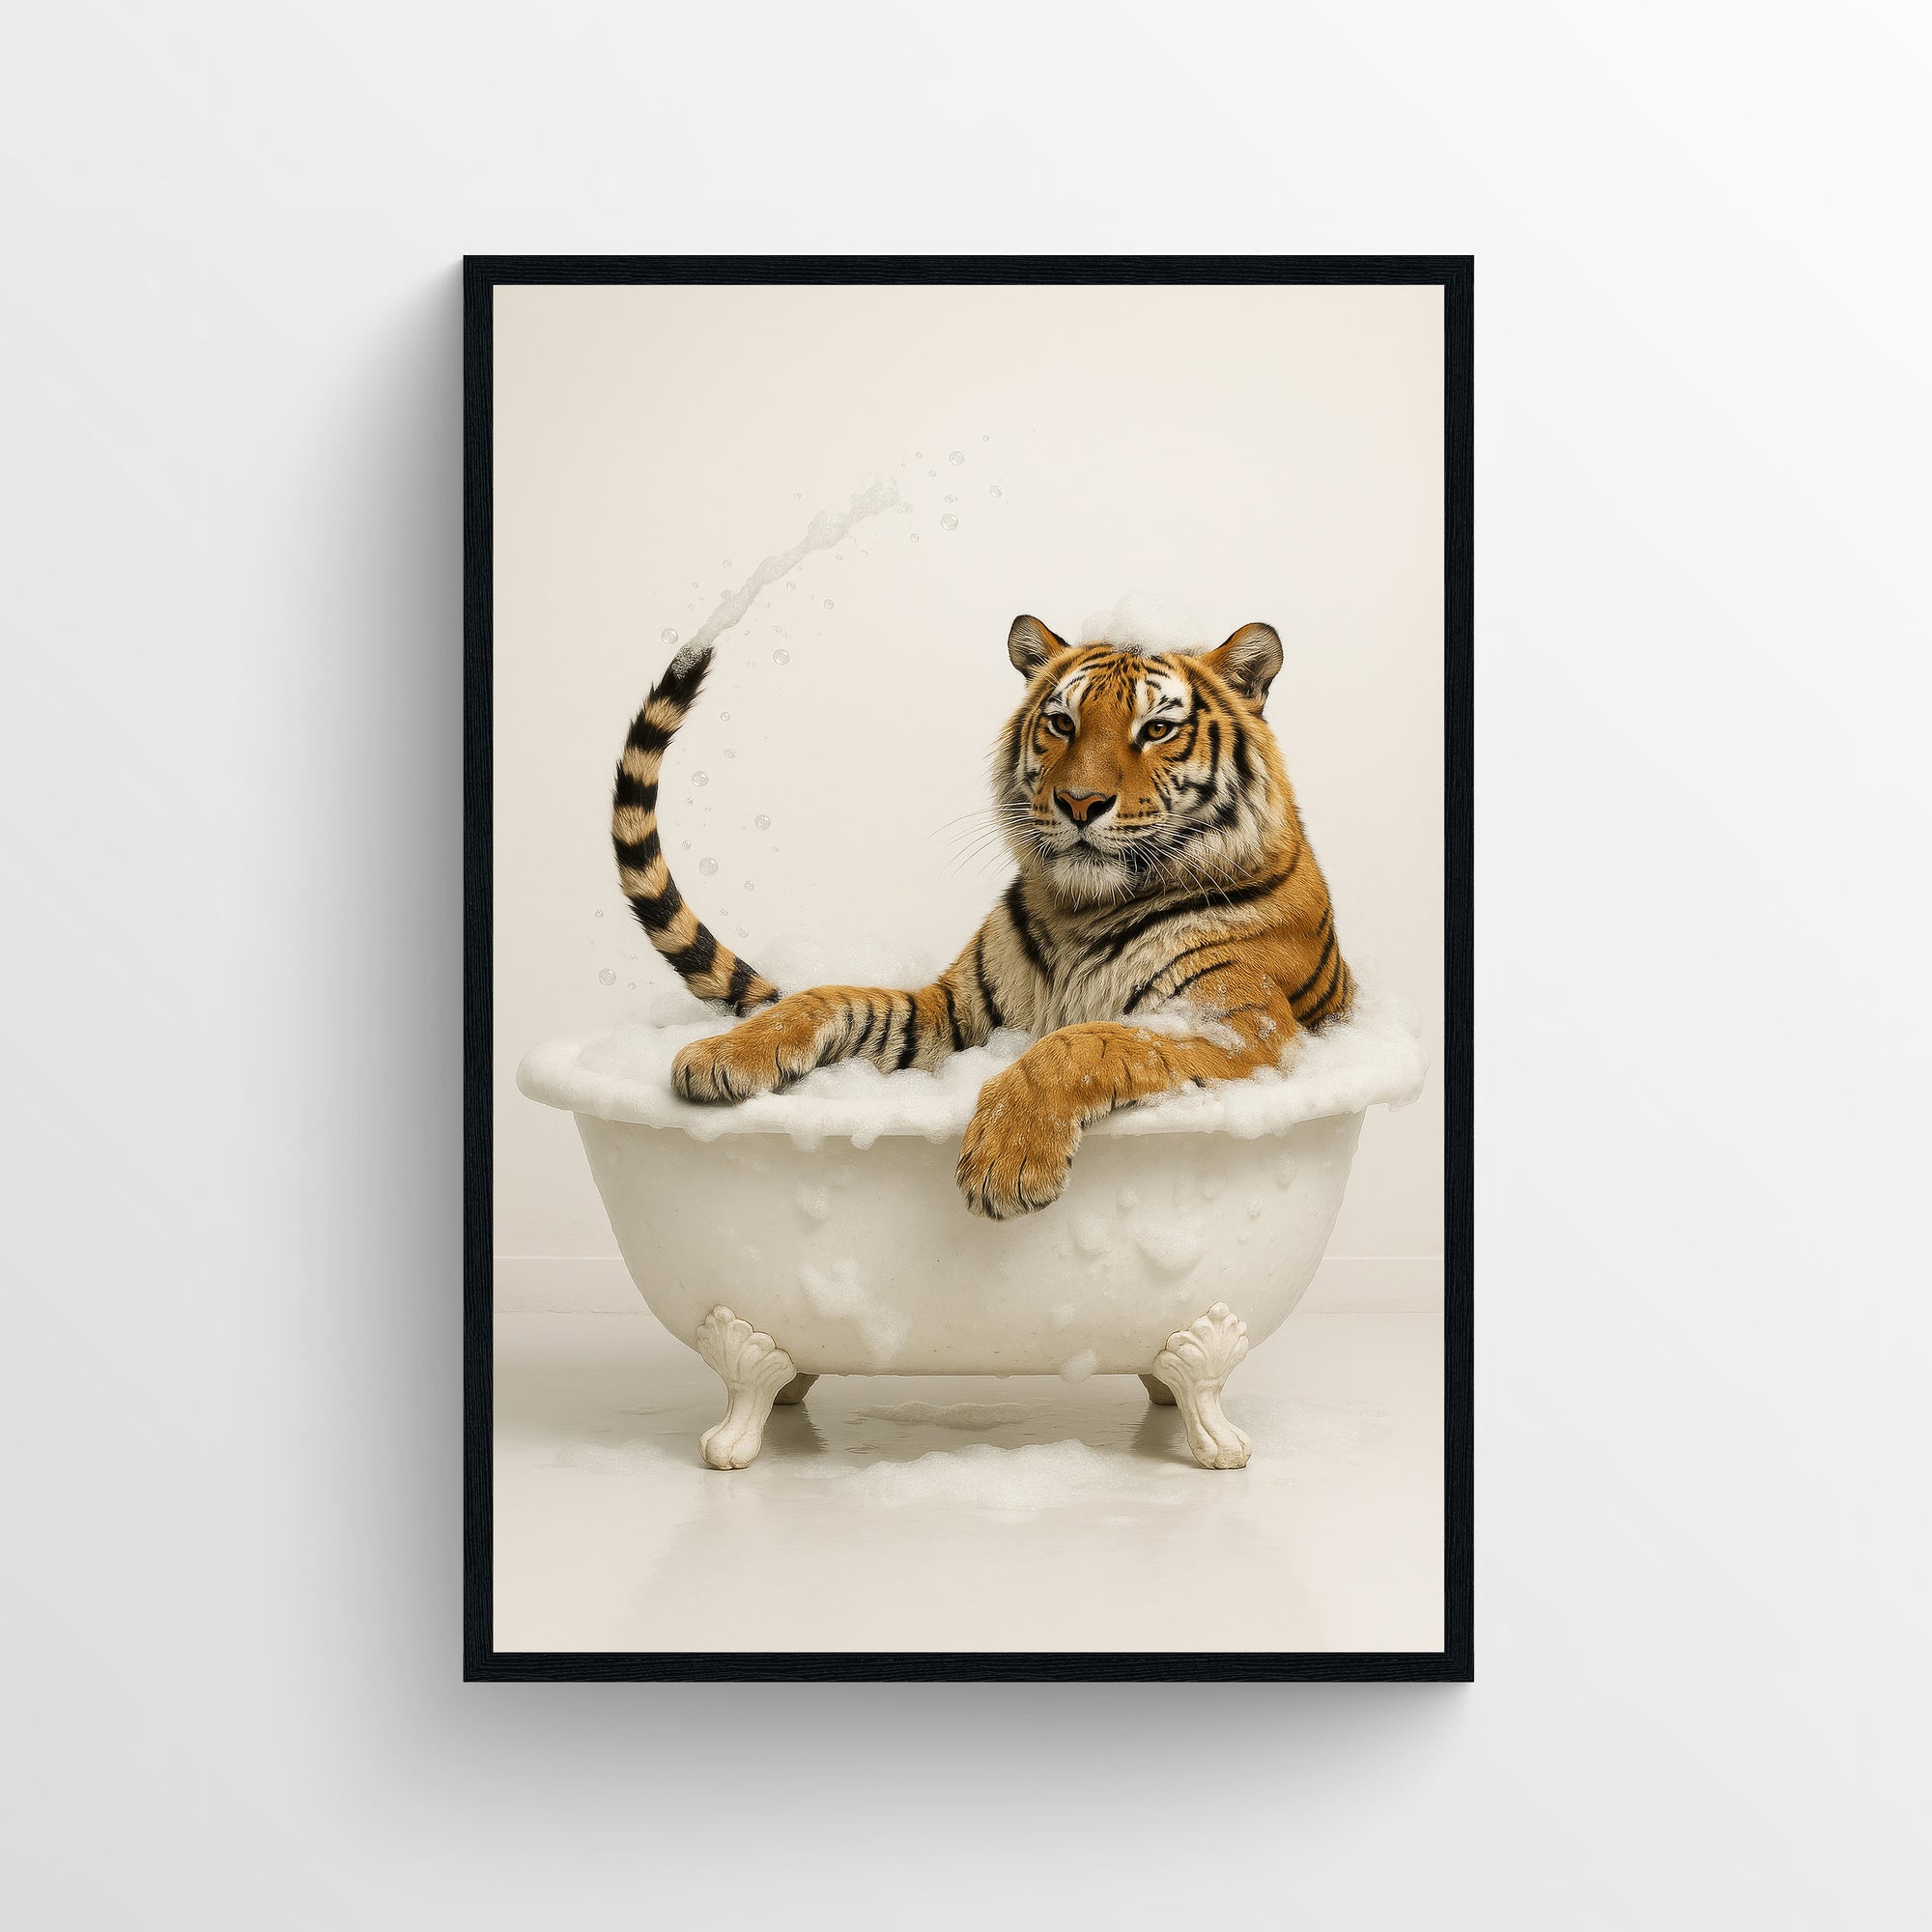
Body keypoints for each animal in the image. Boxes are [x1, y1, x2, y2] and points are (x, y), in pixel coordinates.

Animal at [611, 613, 1354, 1220]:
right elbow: (830, 999)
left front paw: (1008, 1161)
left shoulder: (1240, 1026)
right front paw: (721, 1053)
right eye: (1062, 723)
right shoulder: (955, 1016)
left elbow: (1086, 1041)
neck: (1081, 911)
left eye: (1157, 730)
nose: (1079, 803)